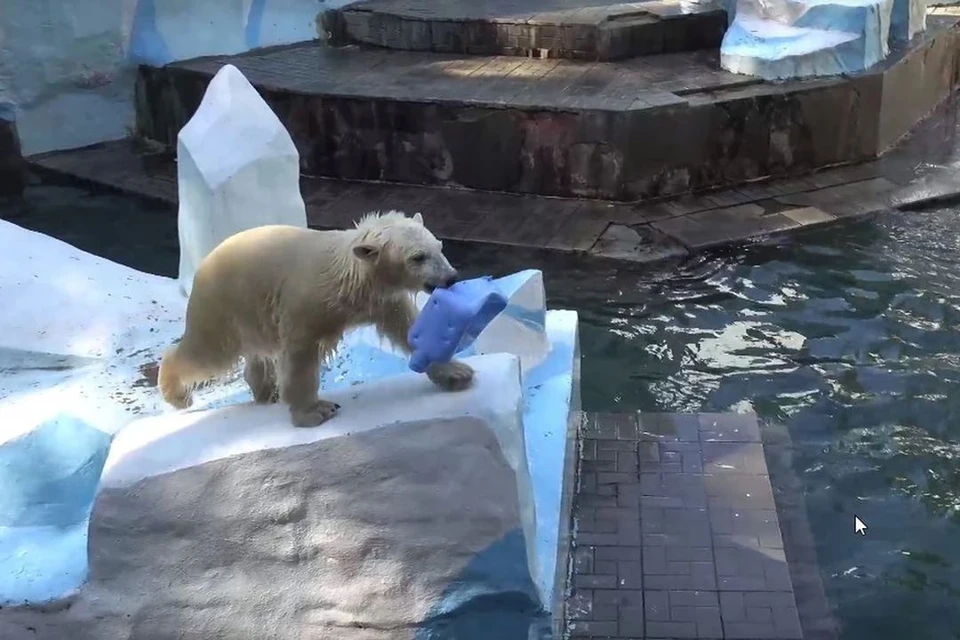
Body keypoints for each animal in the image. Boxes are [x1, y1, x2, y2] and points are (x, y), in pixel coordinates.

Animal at [158, 212, 476, 428]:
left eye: (439, 247)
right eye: (417, 257)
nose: (451, 277)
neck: (352, 275)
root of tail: (202, 264)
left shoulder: (383, 301)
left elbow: (409, 329)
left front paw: (457, 373)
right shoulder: (306, 302)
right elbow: (300, 355)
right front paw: (314, 411)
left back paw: (265, 391)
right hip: (224, 303)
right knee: (208, 351)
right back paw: (177, 394)